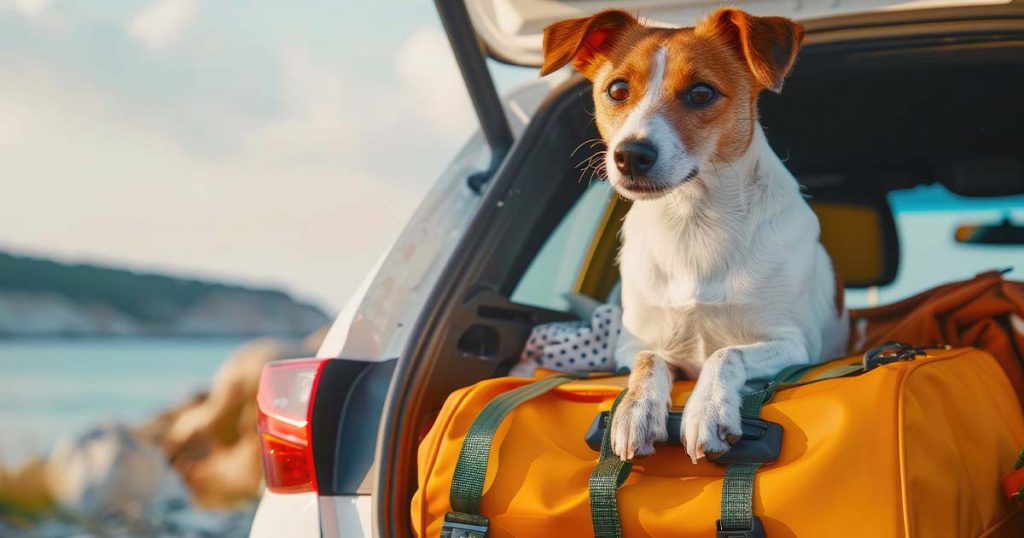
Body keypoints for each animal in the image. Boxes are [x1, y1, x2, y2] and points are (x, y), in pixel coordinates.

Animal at [544, 8, 847, 461]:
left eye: (701, 93)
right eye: (617, 89)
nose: (630, 154)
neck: (693, 221)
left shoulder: (793, 344)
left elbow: (725, 352)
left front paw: (708, 409)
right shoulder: (630, 346)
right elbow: (649, 360)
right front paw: (636, 410)